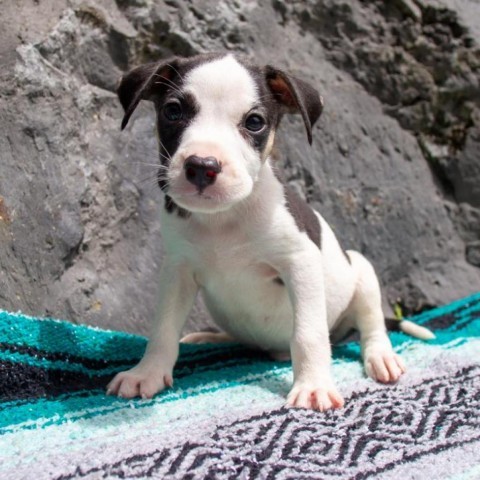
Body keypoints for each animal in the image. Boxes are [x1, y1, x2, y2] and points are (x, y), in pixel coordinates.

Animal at [107, 53, 434, 412]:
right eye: (173, 110)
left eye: (254, 122)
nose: (203, 166)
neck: (223, 219)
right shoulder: (177, 270)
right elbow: (163, 329)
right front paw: (147, 373)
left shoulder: (300, 263)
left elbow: (308, 333)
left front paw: (313, 385)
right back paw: (210, 336)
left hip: (361, 270)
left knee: (372, 323)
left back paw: (381, 356)